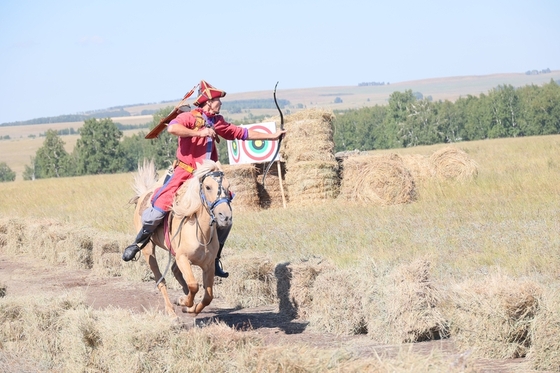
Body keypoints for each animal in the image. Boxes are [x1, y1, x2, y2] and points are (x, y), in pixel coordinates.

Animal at [130, 158, 233, 316]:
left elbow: (208, 296)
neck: (201, 234)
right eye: (208, 187)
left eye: (228, 187)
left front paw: (190, 307)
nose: (225, 217)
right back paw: (171, 311)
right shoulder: (182, 258)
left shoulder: (208, 265)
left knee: (174, 271)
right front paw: (183, 301)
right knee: (160, 280)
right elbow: (194, 285)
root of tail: (144, 195)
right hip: (149, 251)